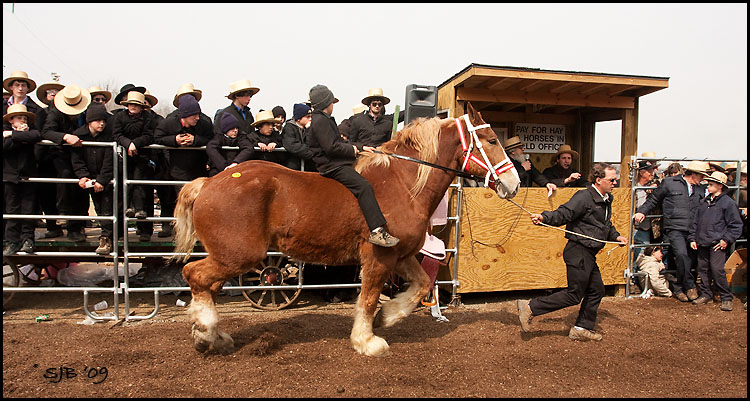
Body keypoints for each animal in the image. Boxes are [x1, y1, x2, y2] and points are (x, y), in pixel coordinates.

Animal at [173, 101, 520, 354]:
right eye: (491, 140)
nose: (514, 183)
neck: (403, 182)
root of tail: (208, 184)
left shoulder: (403, 256)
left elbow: (421, 285)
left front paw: (387, 316)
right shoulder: (378, 258)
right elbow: (367, 299)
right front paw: (367, 341)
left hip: (228, 257)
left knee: (205, 284)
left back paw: (212, 336)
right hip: (239, 256)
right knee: (194, 275)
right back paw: (206, 334)